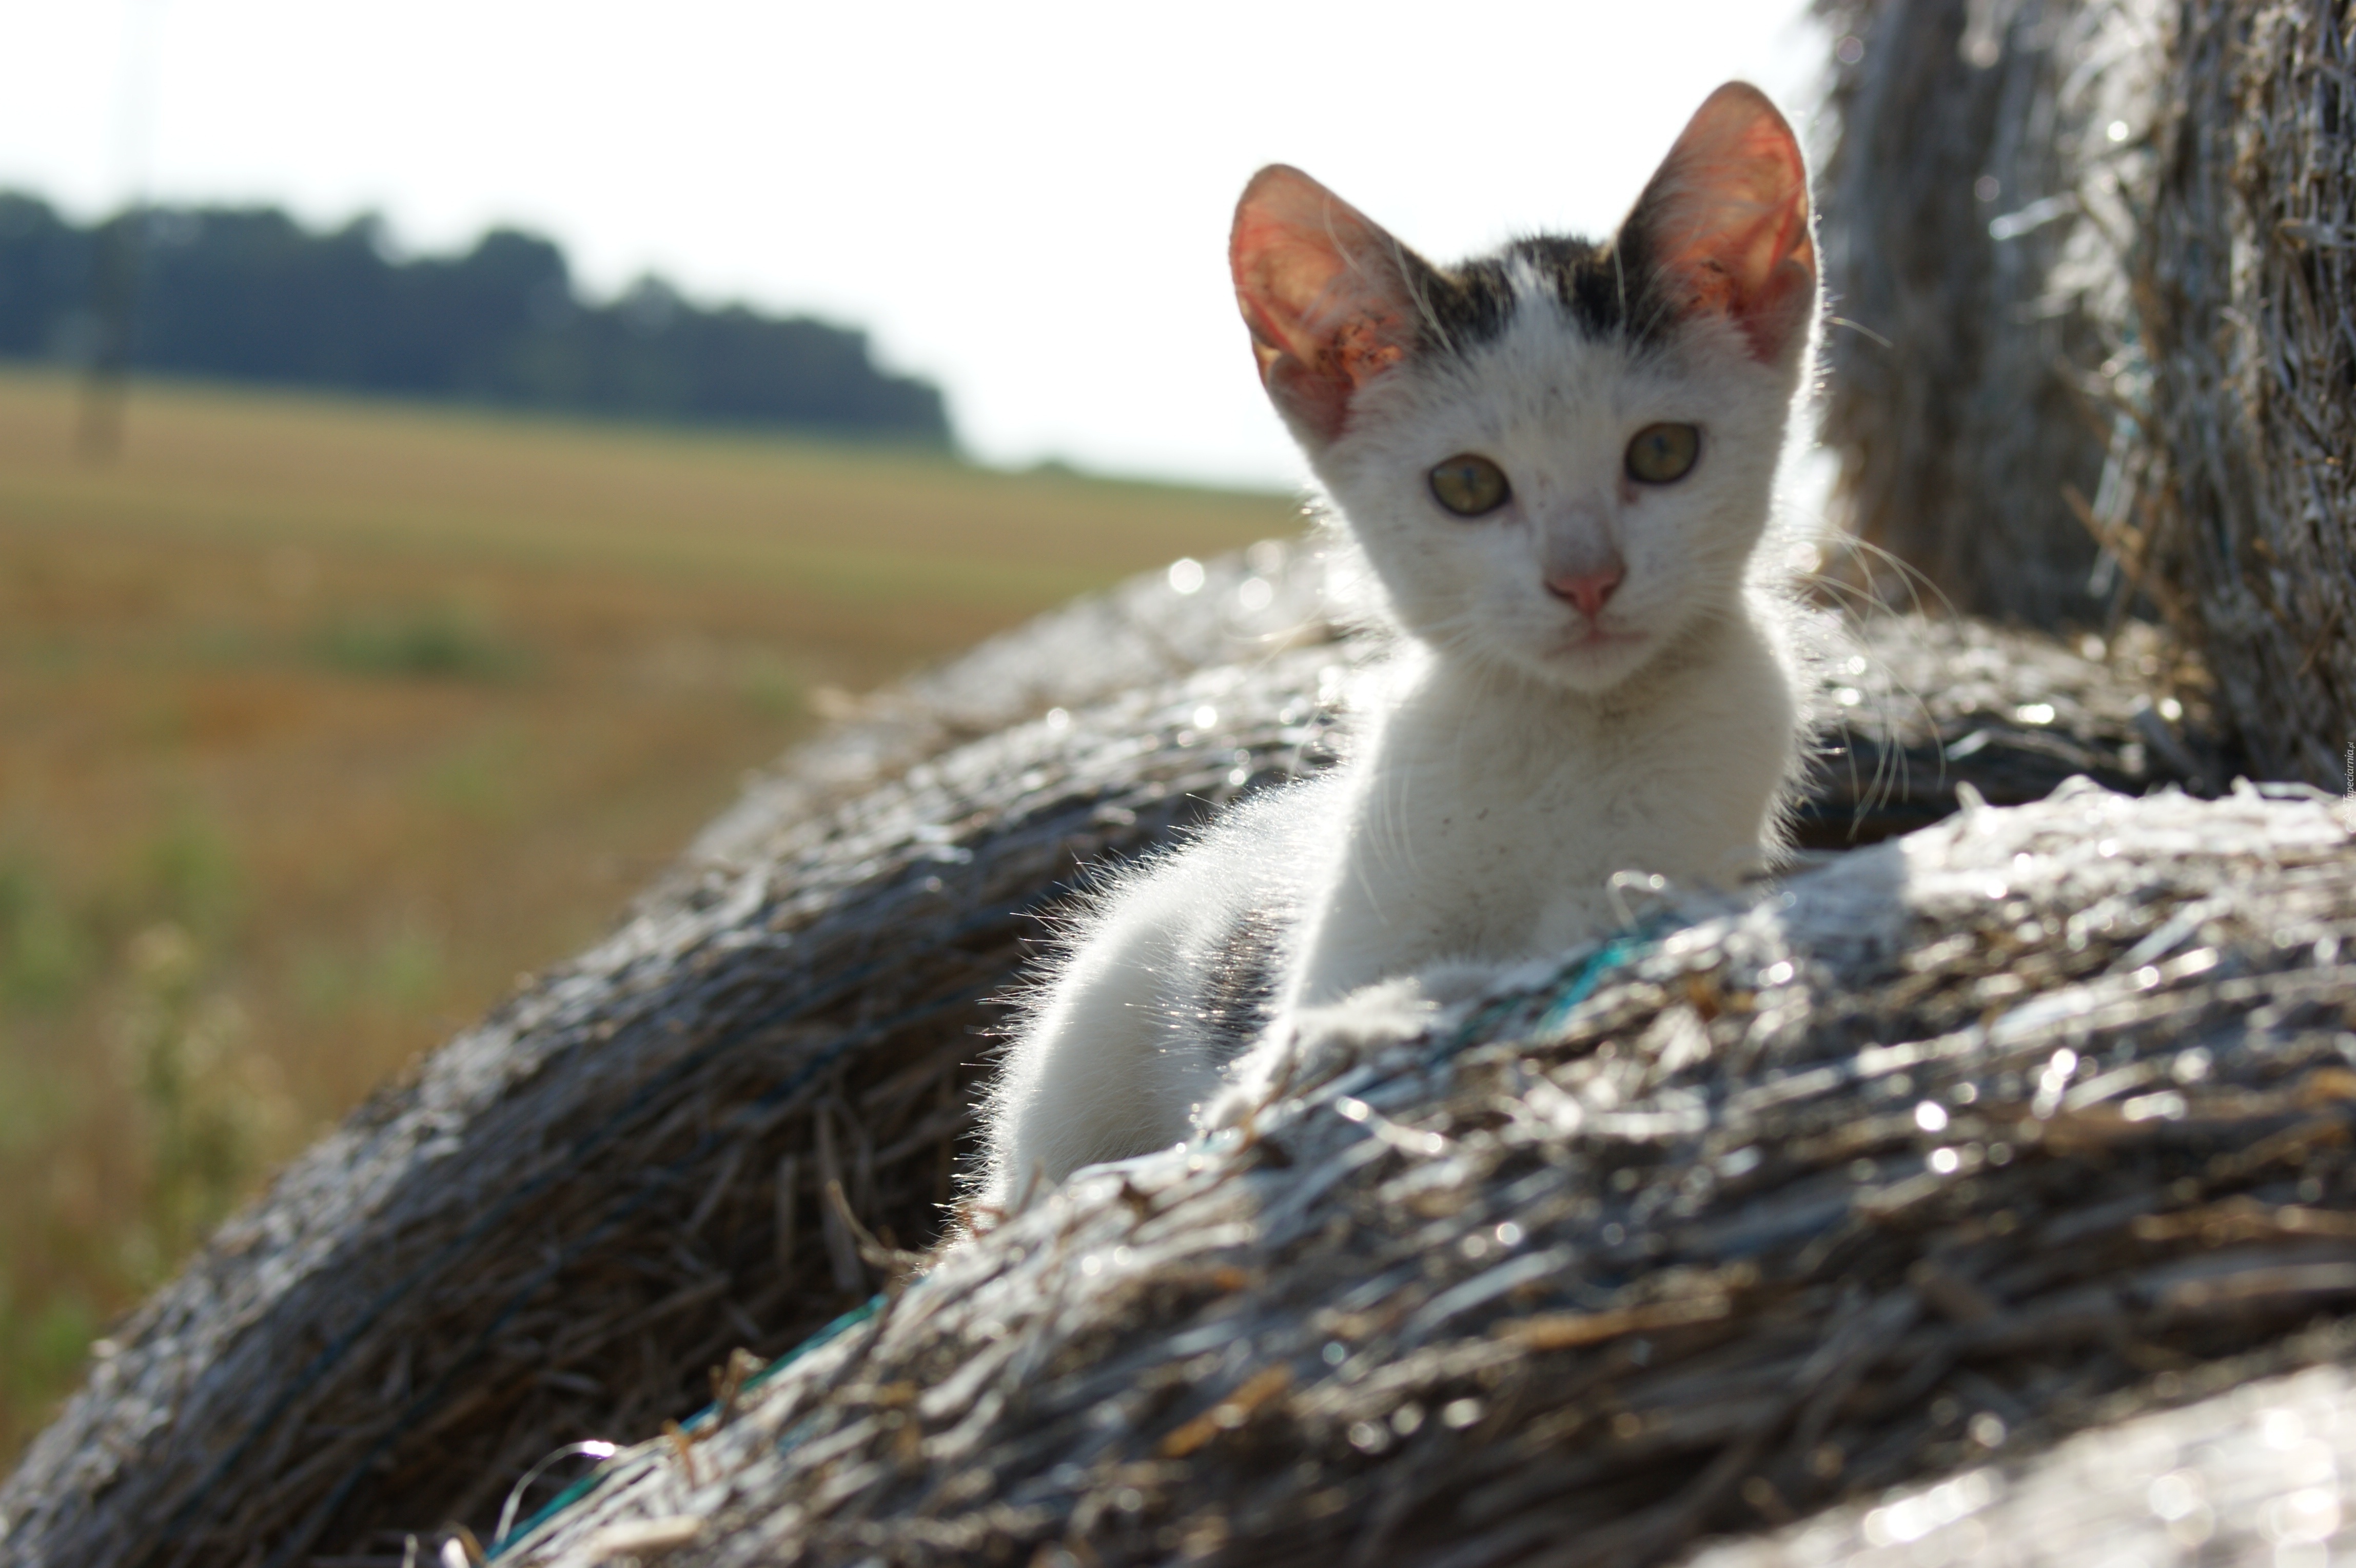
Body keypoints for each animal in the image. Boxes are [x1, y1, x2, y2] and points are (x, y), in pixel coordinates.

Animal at [966, 79, 1809, 1214]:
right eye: (1467, 486)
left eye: (1664, 453)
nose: (1584, 579)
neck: (1570, 731)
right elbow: (1302, 1030)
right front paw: (1347, 1035)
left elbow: (1559, 946)